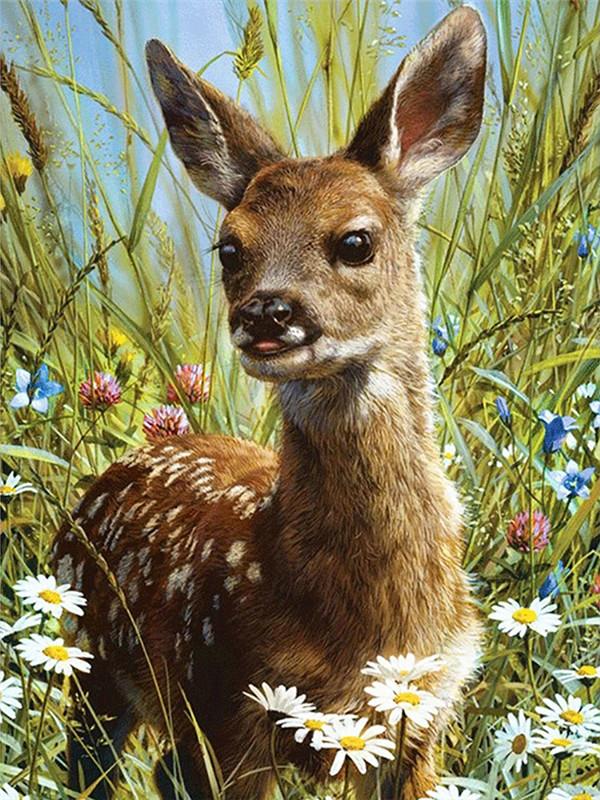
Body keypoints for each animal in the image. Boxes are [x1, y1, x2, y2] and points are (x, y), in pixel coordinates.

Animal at [53, 7, 486, 799]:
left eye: (356, 241)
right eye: (229, 248)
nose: (264, 311)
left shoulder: (423, 718)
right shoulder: (229, 700)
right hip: (96, 660)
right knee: (94, 765)